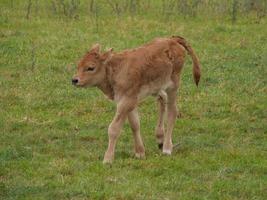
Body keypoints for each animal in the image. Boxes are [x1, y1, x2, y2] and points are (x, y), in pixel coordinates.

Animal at [72, 36, 202, 164]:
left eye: (90, 67)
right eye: (78, 65)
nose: (74, 80)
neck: (114, 69)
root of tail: (172, 39)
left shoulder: (126, 102)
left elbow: (113, 129)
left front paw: (107, 159)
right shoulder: (128, 101)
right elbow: (135, 124)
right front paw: (140, 153)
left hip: (173, 86)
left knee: (173, 111)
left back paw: (166, 148)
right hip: (158, 87)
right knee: (162, 98)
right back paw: (160, 139)